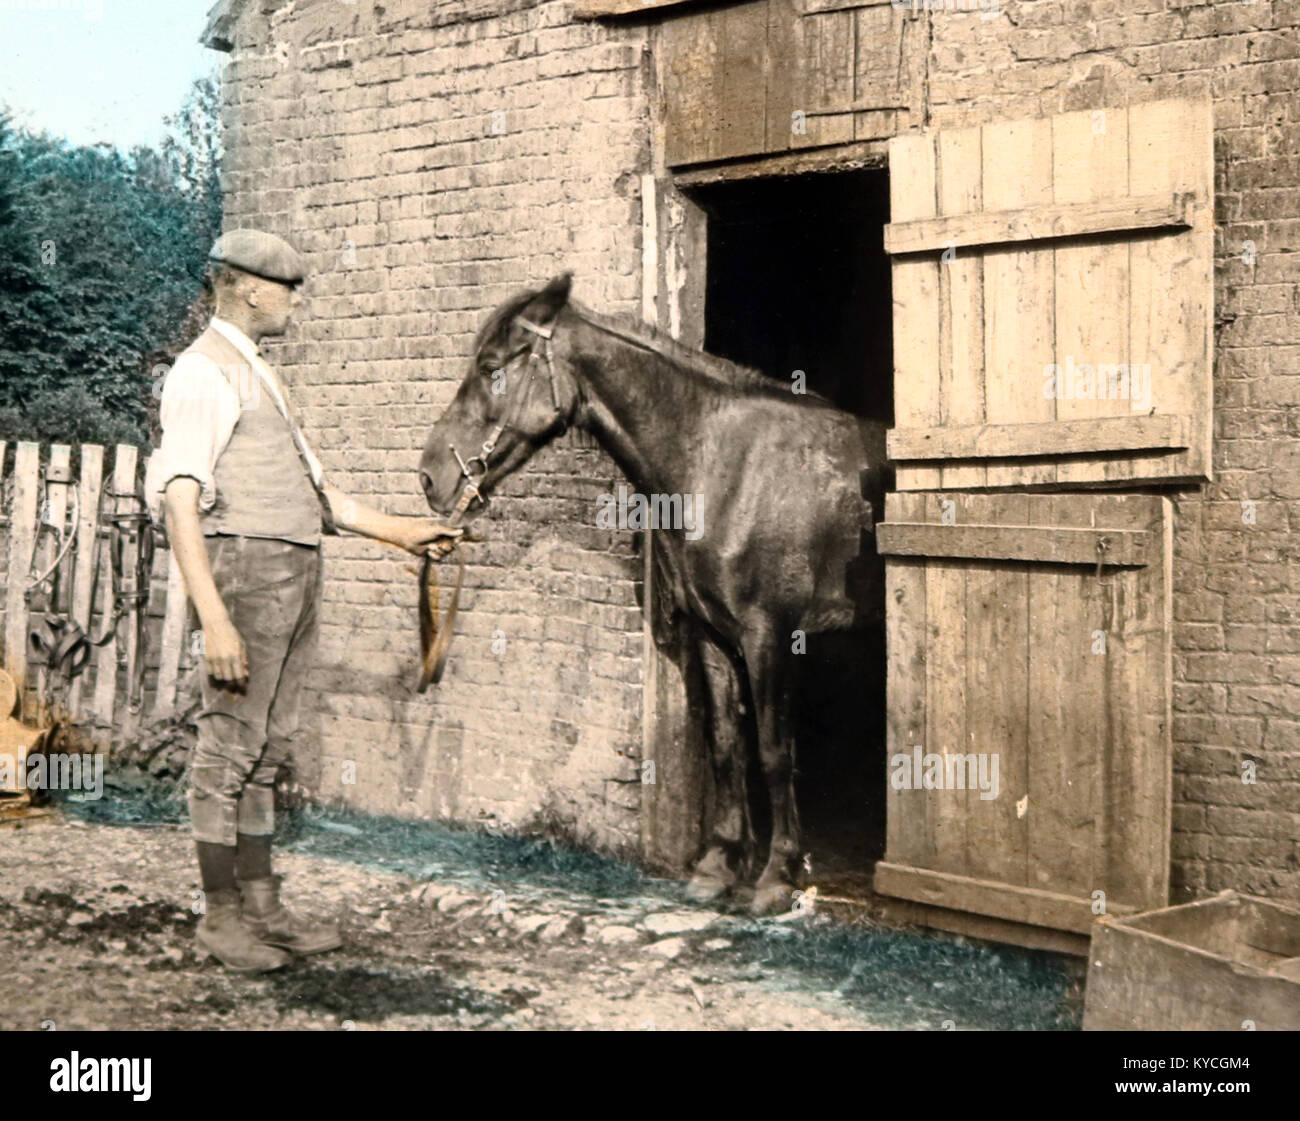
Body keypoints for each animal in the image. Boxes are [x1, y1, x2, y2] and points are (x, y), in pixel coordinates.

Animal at [421, 276, 889, 915]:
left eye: (492, 367)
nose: (429, 477)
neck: (724, 467)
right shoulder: (712, 634)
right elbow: (724, 745)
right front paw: (718, 865)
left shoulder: (771, 636)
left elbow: (773, 752)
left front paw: (776, 877)